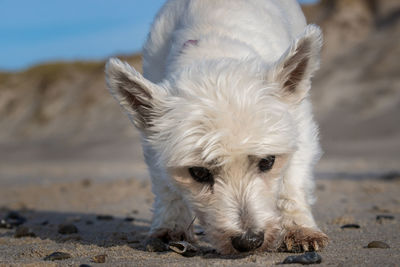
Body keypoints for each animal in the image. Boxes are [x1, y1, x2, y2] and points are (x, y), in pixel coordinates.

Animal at [106, 0, 328, 255]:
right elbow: (166, 188)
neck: (213, 49)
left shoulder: (300, 125)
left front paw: (298, 228)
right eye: (198, 172)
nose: (249, 241)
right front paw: (171, 227)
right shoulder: (152, 141)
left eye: (267, 161)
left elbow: (292, 182)